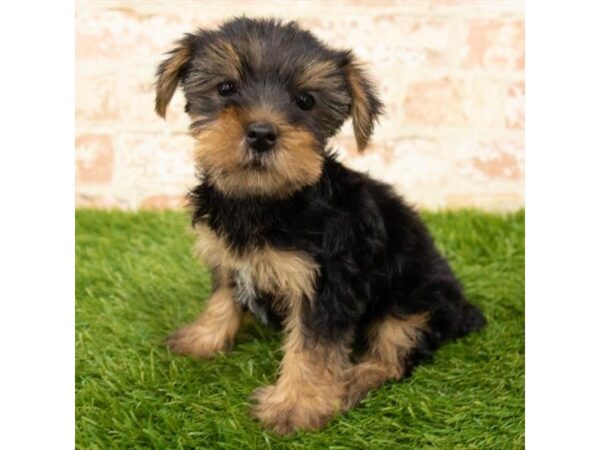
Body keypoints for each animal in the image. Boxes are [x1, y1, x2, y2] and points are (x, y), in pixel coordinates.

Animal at [156, 16, 488, 432]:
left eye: (305, 101)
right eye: (225, 88)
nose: (262, 133)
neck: (265, 200)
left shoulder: (327, 283)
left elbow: (313, 348)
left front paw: (296, 406)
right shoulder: (228, 257)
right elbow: (221, 297)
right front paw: (203, 337)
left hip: (415, 300)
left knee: (395, 353)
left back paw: (353, 380)